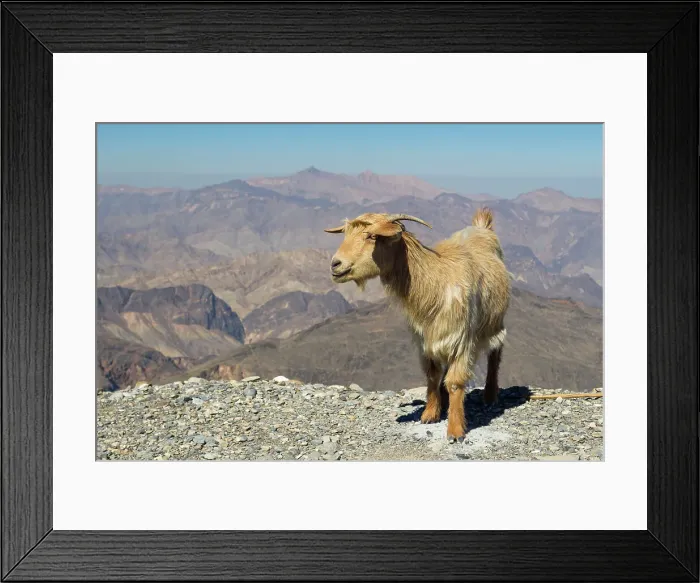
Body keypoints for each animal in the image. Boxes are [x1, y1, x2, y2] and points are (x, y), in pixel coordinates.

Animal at [325, 208, 510, 441]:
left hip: (496, 322)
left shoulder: (462, 339)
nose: (335, 264)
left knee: (496, 352)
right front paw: (430, 414)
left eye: (373, 236)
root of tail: (482, 227)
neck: (436, 283)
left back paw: (490, 395)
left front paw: (455, 430)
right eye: (346, 234)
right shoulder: (424, 340)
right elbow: (432, 375)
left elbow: (456, 382)